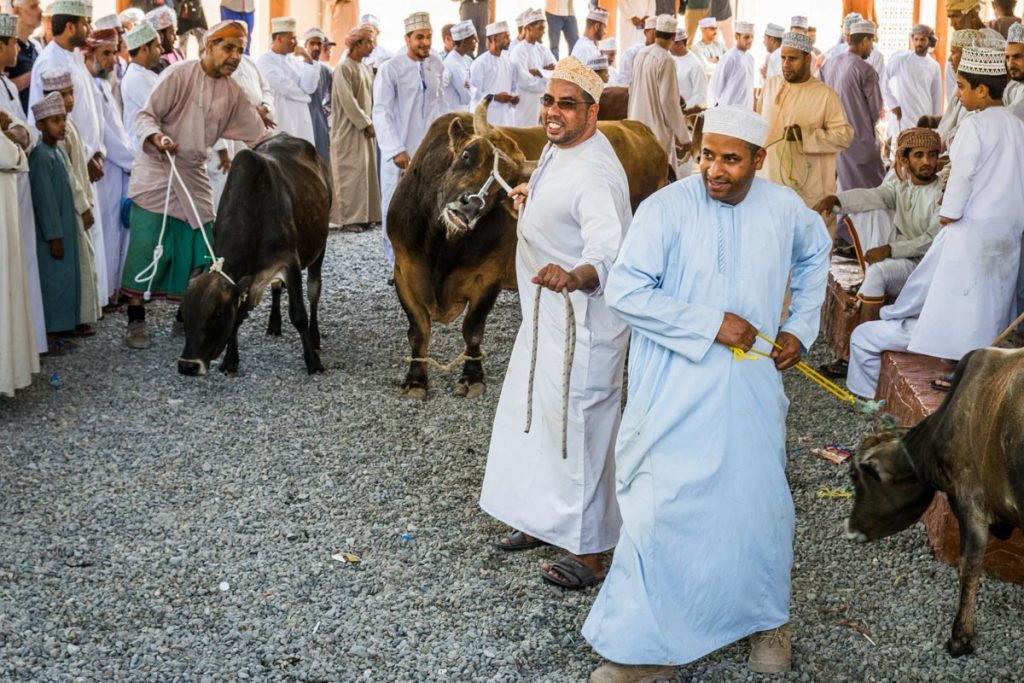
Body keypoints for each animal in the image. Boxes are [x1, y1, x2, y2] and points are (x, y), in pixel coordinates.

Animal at [389, 100, 671, 401]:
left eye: (502, 189)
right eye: (466, 155)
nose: (470, 205)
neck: (440, 250)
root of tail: (638, 128)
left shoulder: (487, 278)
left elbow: (472, 329)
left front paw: (472, 376)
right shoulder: (403, 270)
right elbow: (419, 330)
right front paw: (415, 380)